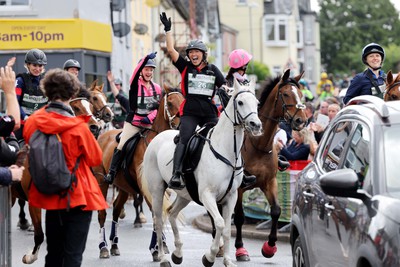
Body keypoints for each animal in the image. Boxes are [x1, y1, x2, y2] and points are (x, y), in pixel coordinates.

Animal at [91, 87, 184, 260]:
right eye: (170, 103)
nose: (180, 126)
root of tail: (102, 136)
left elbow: (159, 214)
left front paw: (161, 246)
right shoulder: (147, 189)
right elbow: (155, 215)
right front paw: (156, 249)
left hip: (123, 186)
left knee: (116, 209)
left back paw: (114, 245)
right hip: (102, 182)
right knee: (102, 214)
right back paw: (103, 247)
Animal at [141, 80, 262, 267]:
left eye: (257, 103)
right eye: (240, 102)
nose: (256, 125)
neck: (225, 150)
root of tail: (157, 137)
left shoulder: (231, 197)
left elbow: (227, 229)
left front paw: (227, 260)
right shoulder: (207, 195)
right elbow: (219, 223)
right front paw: (210, 256)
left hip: (185, 195)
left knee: (172, 213)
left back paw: (177, 253)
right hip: (157, 191)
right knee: (159, 221)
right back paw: (162, 257)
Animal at [231, 69, 306, 262]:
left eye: (301, 94)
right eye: (286, 94)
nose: (301, 121)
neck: (258, 144)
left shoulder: (270, 182)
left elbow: (276, 211)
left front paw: (270, 247)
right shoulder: (239, 188)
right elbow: (240, 216)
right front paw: (240, 249)